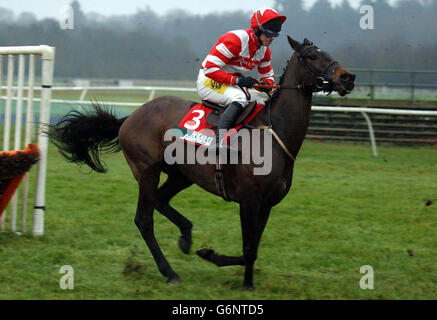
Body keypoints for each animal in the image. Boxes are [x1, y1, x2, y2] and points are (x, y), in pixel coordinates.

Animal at [47, 36, 354, 288]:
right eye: (312, 55)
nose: (348, 76)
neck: (272, 134)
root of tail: (130, 117)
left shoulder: (267, 204)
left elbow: (253, 247)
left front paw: (236, 274)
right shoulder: (248, 200)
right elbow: (248, 248)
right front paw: (231, 272)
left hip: (182, 174)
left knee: (161, 201)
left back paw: (186, 235)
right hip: (147, 171)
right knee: (144, 219)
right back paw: (169, 272)